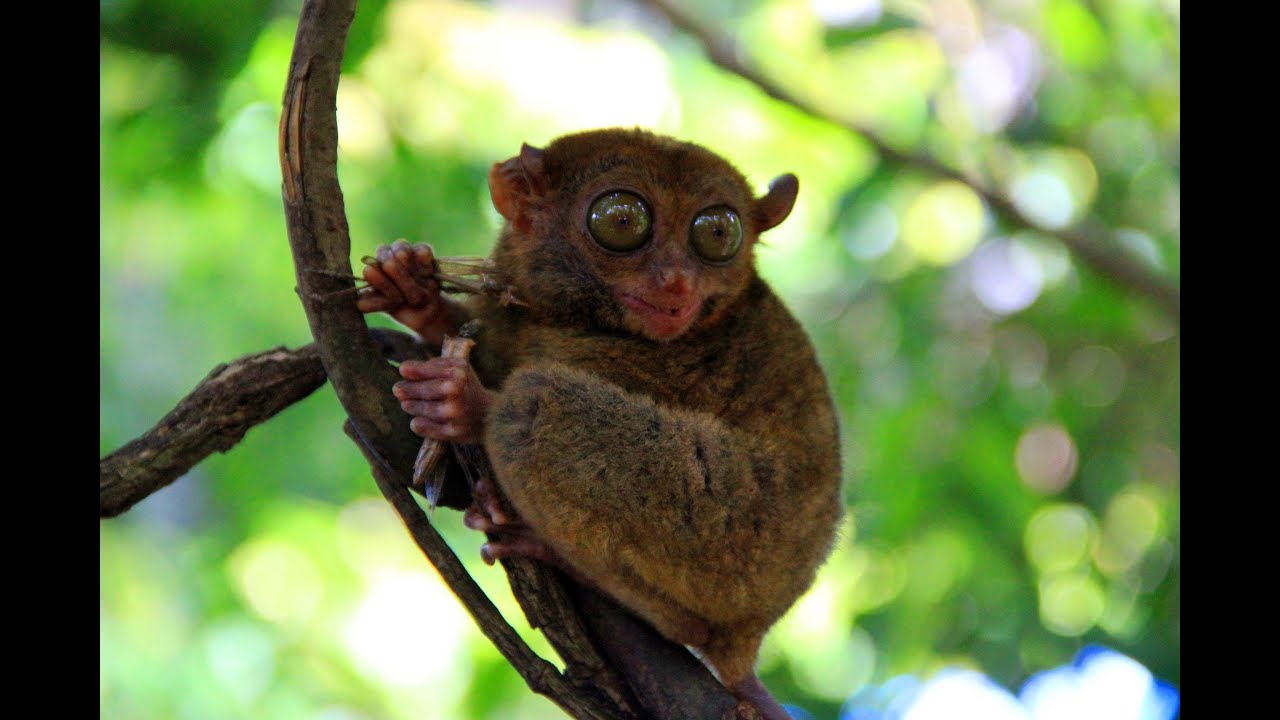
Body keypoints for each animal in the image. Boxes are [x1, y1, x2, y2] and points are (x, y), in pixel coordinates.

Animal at [358, 128, 843, 718]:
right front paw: (413, 288)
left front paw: (459, 401)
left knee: (528, 407)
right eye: (621, 220)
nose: (677, 282)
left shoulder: (676, 365)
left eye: (716, 233)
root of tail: (750, 640)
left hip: (730, 536)